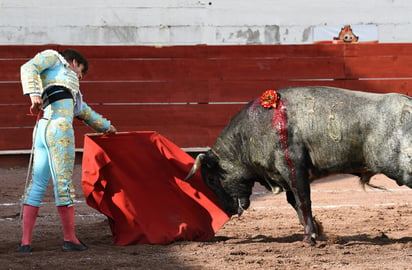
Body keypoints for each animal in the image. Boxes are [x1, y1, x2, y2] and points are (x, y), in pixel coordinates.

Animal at [186, 86, 412, 245]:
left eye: (212, 179)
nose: (228, 209)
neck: (249, 134)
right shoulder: (284, 177)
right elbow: (295, 204)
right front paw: (316, 231)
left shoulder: (294, 169)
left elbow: (303, 201)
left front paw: (309, 237)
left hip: (400, 167)